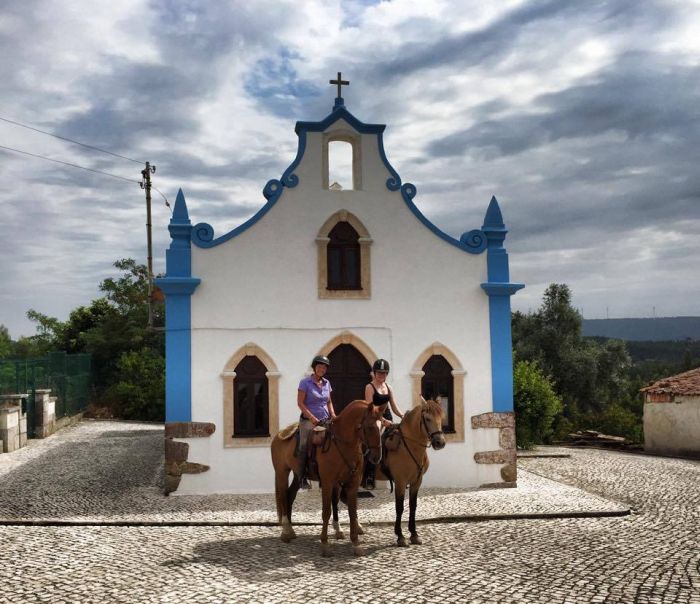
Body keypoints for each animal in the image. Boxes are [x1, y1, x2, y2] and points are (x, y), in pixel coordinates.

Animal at [272, 402, 382, 556]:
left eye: (382, 425)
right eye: (371, 427)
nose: (377, 457)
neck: (343, 444)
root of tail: (279, 434)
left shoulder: (351, 484)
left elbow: (352, 511)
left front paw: (355, 543)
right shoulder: (327, 483)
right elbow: (326, 511)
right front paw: (325, 544)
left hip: (298, 474)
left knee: (290, 495)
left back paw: (291, 530)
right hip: (282, 472)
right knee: (283, 496)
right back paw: (286, 530)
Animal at [374, 396, 446, 548]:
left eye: (442, 417)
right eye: (427, 418)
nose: (440, 442)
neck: (409, 446)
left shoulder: (416, 481)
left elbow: (413, 506)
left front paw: (414, 534)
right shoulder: (400, 482)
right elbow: (399, 507)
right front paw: (400, 536)